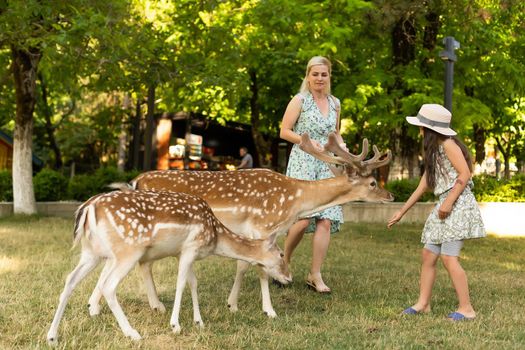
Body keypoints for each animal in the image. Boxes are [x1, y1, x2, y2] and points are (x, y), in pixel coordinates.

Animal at [46, 190, 288, 344]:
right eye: (282, 254)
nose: (289, 277)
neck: (215, 236)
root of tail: (87, 208)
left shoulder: (185, 252)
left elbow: (193, 283)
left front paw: (199, 321)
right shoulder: (191, 247)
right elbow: (181, 283)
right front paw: (175, 325)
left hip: (92, 252)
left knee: (70, 280)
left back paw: (52, 336)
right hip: (128, 250)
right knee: (109, 286)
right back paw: (132, 333)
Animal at [89, 131, 392, 318]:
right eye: (372, 182)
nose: (391, 196)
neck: (295, 201)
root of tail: (135, 180)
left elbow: (243, 264)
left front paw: (232, 304)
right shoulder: (263, 225)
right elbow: (260, 268)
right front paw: (269, 310)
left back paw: (98, 306)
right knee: (141, 263)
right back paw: (153, 306)